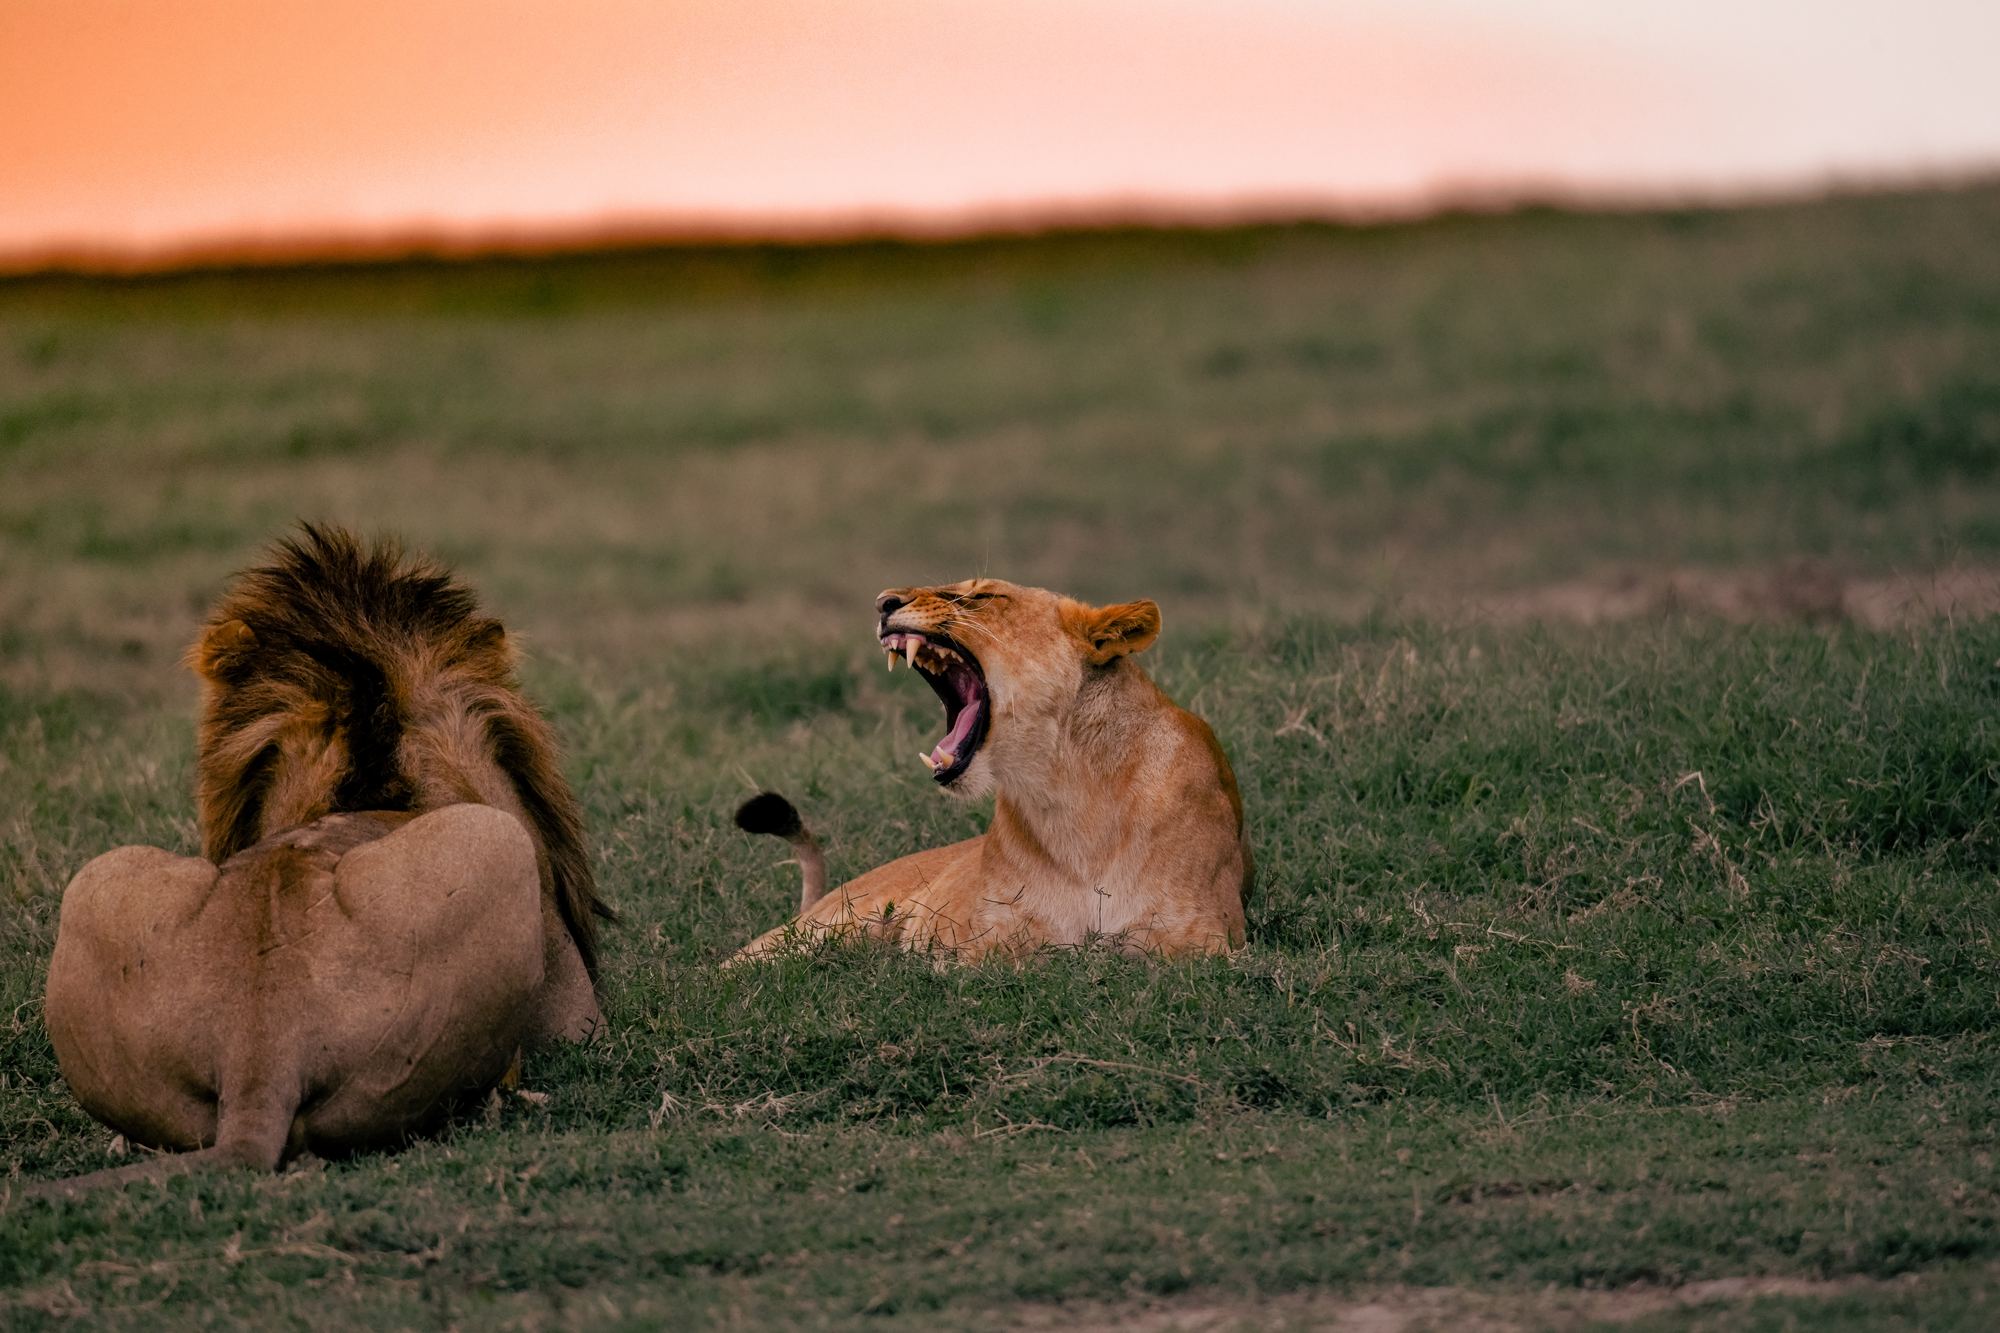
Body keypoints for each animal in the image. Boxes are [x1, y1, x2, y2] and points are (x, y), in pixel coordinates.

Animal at [734, 579, 1250, 960]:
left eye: (982, 597)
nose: (883, 603)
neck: (1068, 790)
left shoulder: (1207, 939)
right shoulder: (979, 939)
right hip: (803, 935)